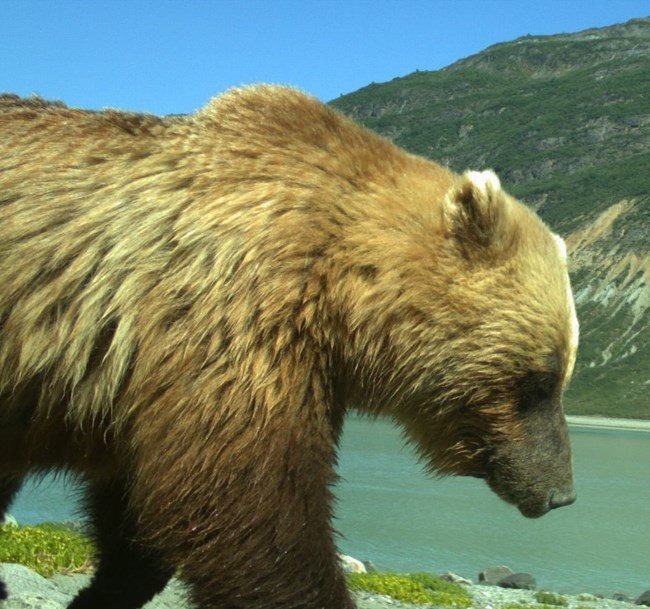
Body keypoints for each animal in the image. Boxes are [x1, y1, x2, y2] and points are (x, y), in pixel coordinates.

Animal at [0, 86, 576, 608]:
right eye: (540, 380)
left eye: (562, 374)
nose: (562, 494)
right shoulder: (238, 323)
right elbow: (251, 510)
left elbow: (139, 517)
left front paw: (105, 590)